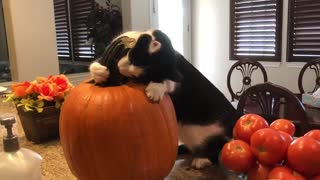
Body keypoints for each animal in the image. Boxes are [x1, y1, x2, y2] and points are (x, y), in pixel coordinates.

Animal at [89, 29, 241, 169]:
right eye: (132, 58)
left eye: (143, 78)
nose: (120, 68)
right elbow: (96, 64)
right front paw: (100, 72)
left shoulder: (178, 81)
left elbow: (168, 82)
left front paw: (155, 90)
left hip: (202, 135)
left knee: (219, 147)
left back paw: (201, 160)